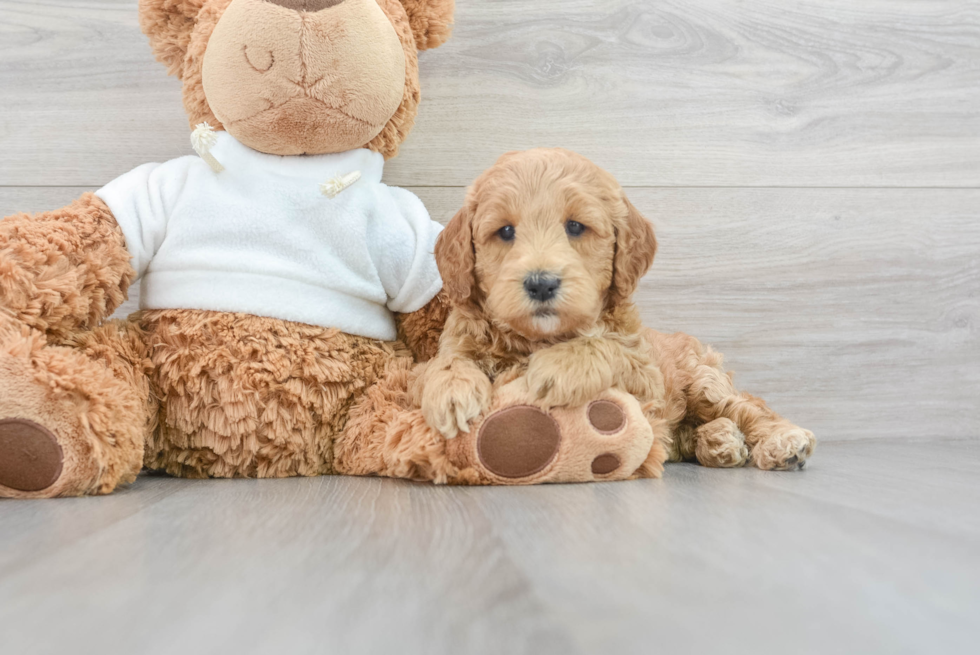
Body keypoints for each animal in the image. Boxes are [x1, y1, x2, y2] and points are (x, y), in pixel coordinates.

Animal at [424, 147, 816, 472]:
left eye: (575, 226)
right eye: (505, 231)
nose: (541, 283)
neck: (539, 338)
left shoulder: (645, 377)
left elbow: (605, 346)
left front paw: (557, 367)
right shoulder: (459, 338)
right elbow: (443, 363)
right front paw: (451, 392)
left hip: (704, 382)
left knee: (750, 407)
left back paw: (782, 442)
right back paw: (720, 441)